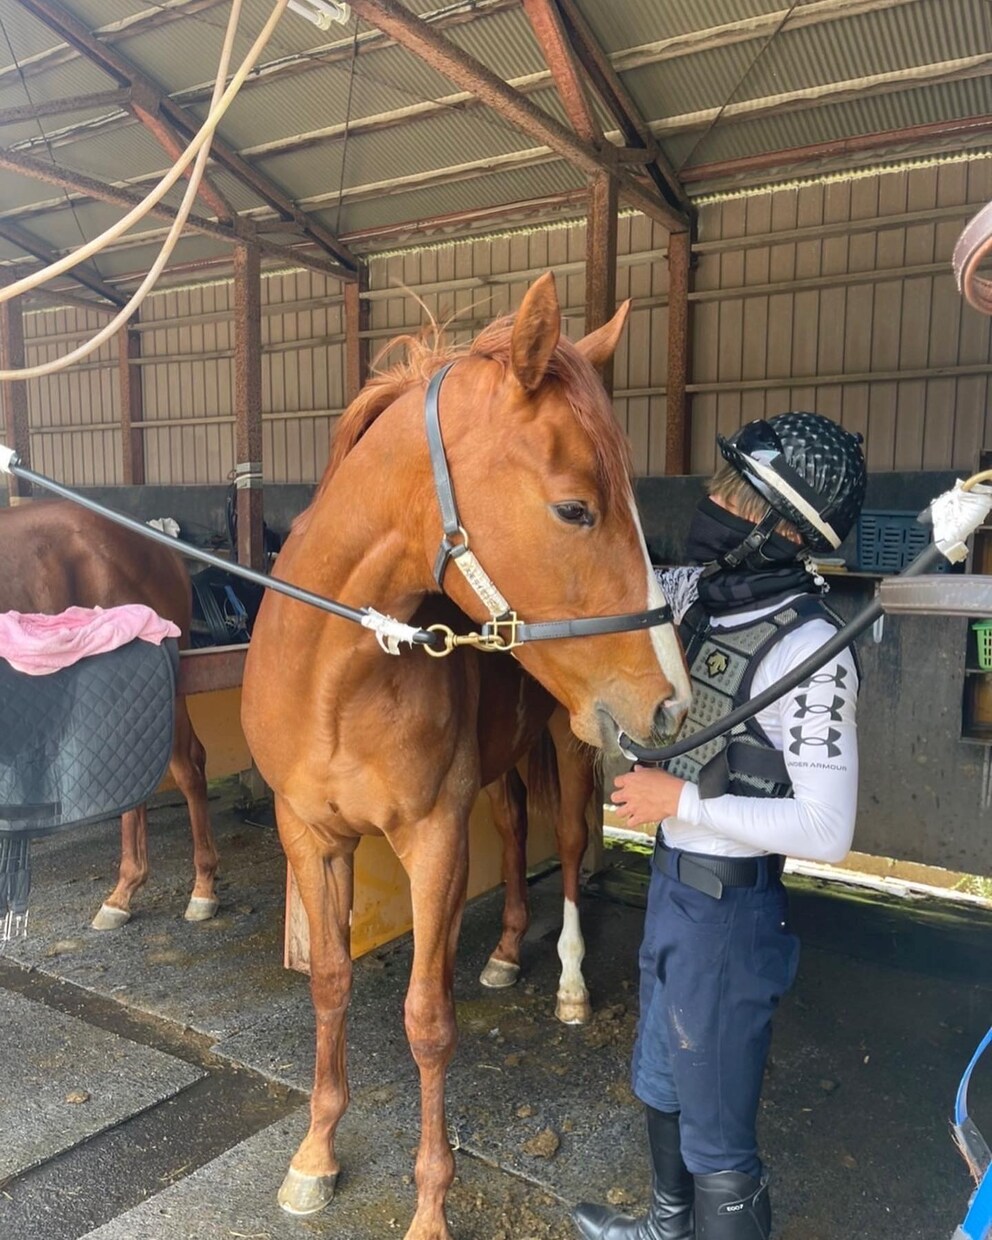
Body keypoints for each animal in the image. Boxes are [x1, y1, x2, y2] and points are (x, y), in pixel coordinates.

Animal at [241, 272, 691, 1240]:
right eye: (574, 507)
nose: (669, 702)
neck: (338, 673)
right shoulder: (311, 836)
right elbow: (330, 983)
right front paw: (315, 1156)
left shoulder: (434, 837)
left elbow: (426, 1019)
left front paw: (429, 1205)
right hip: (505, 765)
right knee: (518, 832)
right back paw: (507, 952)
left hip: (566, 743)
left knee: (566, 848)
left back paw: (565, 983)